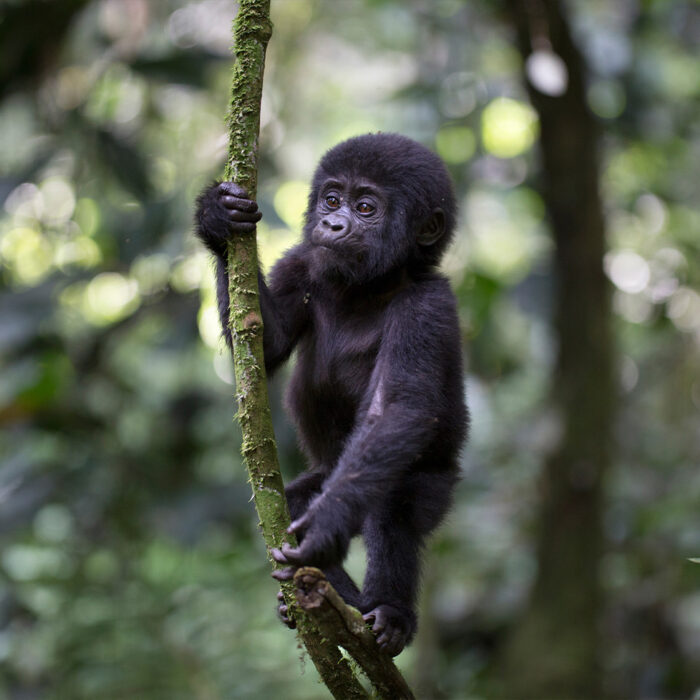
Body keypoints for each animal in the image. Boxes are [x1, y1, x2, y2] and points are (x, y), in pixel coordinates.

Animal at [197, 133, 468, 656]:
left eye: (365, 207)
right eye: (332, 198)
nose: (333, 223)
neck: (371, 286)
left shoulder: (429, 307)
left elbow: (395, 408)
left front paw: (326, 527)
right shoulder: (302, 262)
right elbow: (266, 340)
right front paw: (217, 217)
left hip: (439, 485)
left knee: (393, 508)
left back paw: (386, 613)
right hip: (323, 475)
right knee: (293, 499)